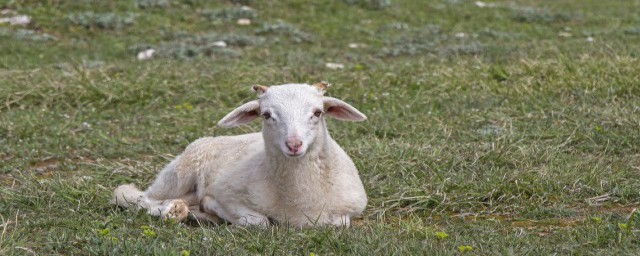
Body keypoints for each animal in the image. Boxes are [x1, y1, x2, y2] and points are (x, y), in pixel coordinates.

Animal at [112, 81, 368, 226]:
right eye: (266, 114)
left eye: (317, 112)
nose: (294, 144)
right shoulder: (228, 194)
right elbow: (258, 221)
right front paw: (213, 208)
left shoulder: (350, 210)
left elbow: (339, 223)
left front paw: (207, 212)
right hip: (178, 173)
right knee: (137, 197)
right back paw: (173, 210)